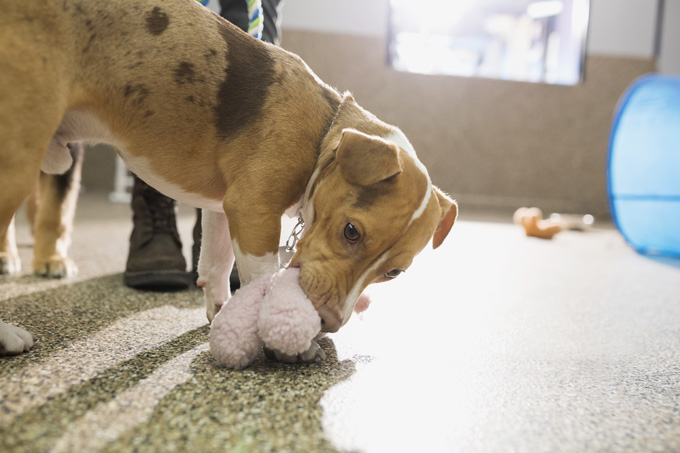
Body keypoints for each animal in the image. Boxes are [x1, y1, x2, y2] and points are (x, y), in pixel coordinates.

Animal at [1, 0, 456, 356]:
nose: (328, 320)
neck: (325, 131)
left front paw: (221, 311)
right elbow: (262, 279)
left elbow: (217, 262)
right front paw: (277, 338)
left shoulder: (224, 206)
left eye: (393, 274)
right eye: (351, 232)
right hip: (17, 160)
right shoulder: (253, 212)